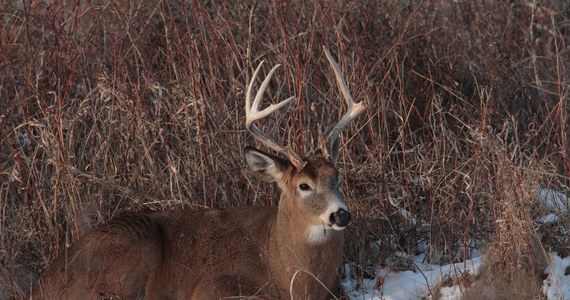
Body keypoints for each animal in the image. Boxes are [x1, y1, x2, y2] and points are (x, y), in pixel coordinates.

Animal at [32, 45, 364, 298]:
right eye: (303, 185)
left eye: (338, 178)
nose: (341, 215)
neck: (283, 268)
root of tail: (46, 281)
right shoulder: (213, 287)